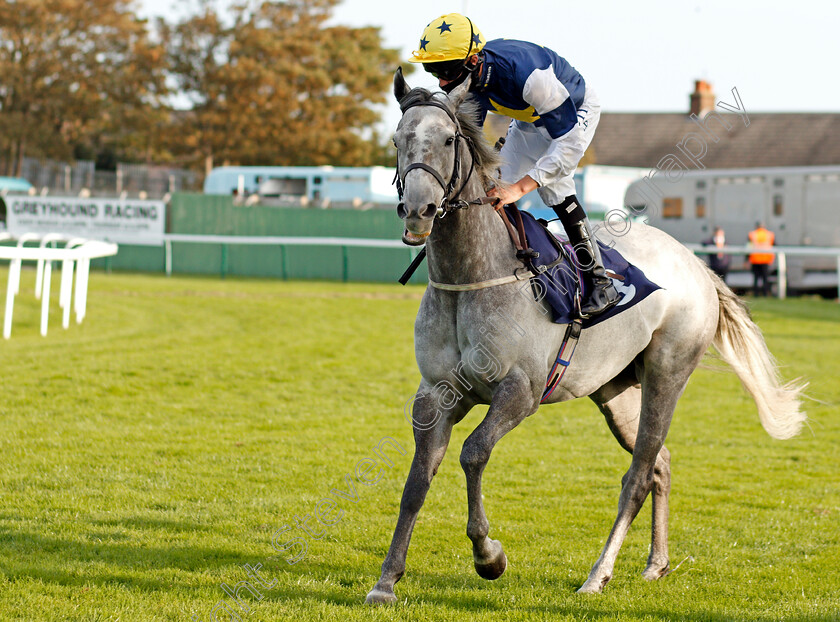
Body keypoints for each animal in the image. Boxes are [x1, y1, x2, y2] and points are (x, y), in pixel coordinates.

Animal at [364, 70, 804, 608]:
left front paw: (489, 556)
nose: (419, 209)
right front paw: (387, 579)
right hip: (614, 390)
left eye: (448, 139)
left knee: (637, 475)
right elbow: (417, 479)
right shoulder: (435, 394)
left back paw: (598, 574)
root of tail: (697, 266)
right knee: (659, 463)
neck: (473, 276)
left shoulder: (520, 391)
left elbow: (473, 453)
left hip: (668, 374)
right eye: (397, 140)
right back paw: (655, 563)